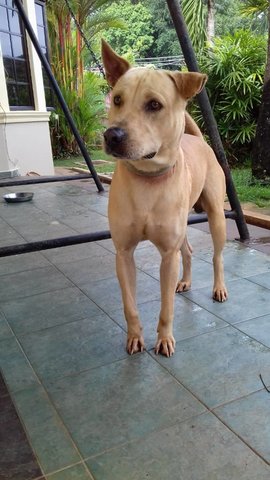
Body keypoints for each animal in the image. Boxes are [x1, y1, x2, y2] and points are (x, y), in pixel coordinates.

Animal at [102, 40, 227, 356]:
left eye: (154, 105)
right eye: (117, 99)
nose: (112, 135)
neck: (148, 179)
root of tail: (199, 140)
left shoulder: (168, 255)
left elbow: (166, 305)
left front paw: (165, 338)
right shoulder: (123, 253)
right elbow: (130, 305)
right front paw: (135, 337)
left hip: (217, 219)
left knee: (217, 256)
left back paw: (219, 288)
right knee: (189, 251)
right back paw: (186, 281)